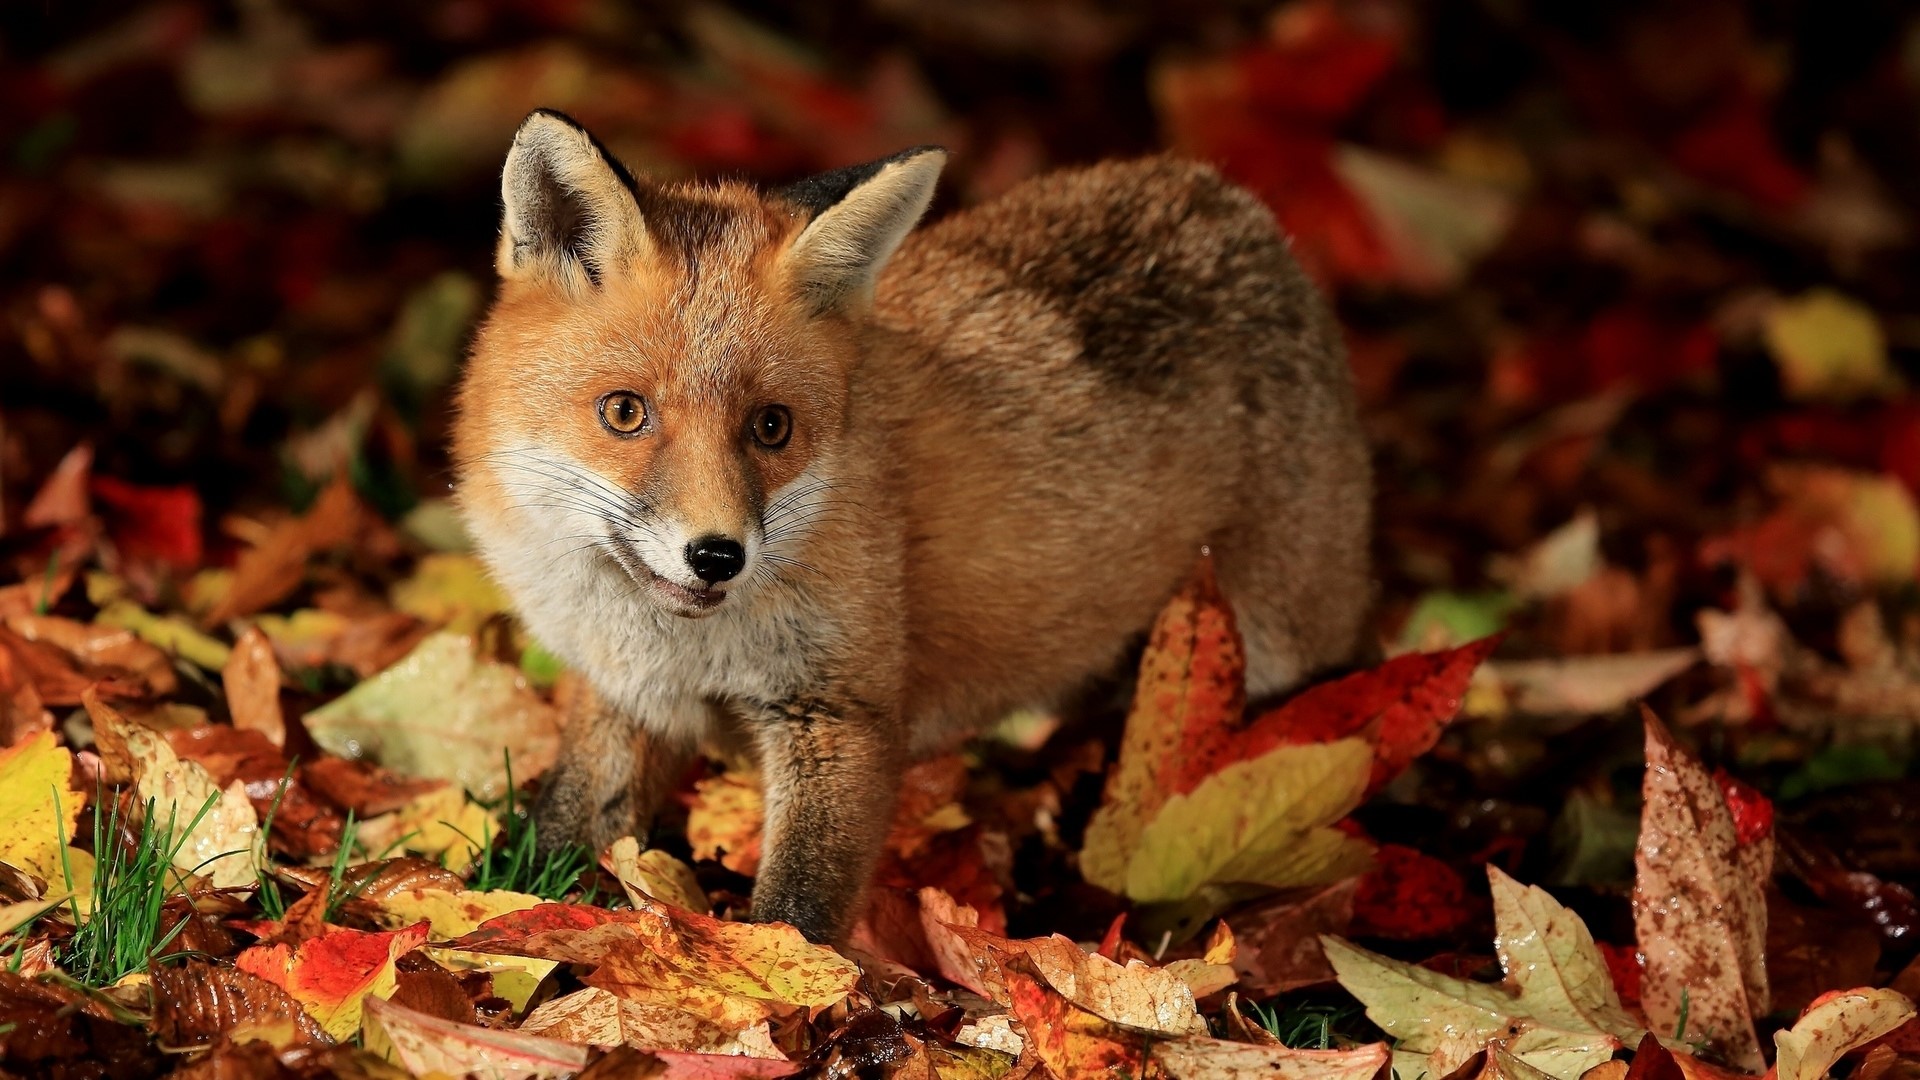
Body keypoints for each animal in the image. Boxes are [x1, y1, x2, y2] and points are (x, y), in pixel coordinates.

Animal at [452, 109, 1375, 945]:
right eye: (624, 412)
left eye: (772, 427)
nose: (716, 556)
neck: (682, 646)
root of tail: (1233, 203)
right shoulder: (622, 696)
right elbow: (561, 830)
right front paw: (506, 912)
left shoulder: (841, 715)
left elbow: (799, 911)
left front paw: (792, 997)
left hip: (1279, 654)